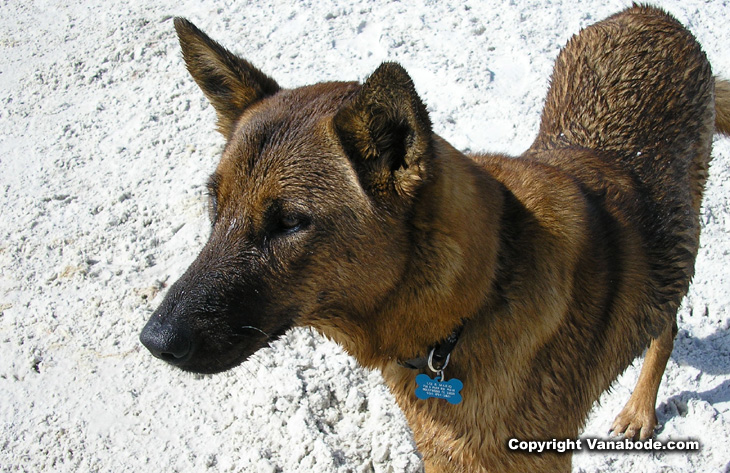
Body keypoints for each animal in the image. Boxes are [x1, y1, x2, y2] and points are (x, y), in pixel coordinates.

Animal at [138, 4, 728, 472]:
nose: (153, 341)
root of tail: (650, 14)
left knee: (666, 325)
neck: (476, 300)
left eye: (289, 223)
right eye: (215, 203)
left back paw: (640, 409)